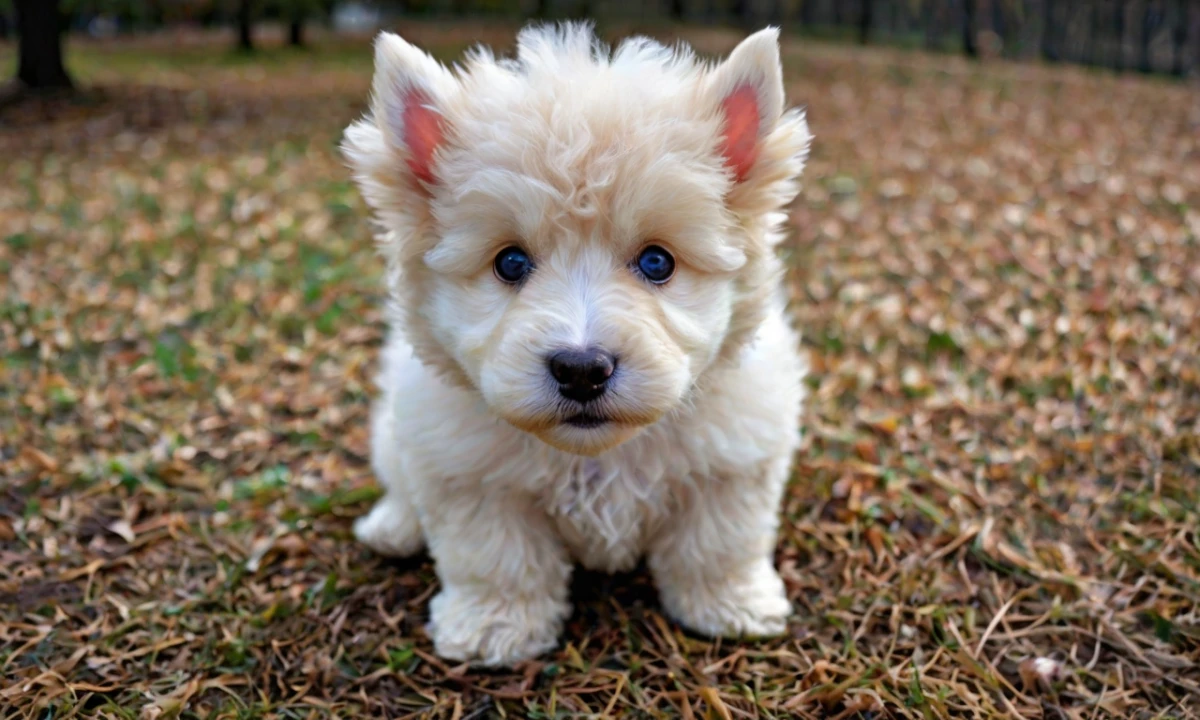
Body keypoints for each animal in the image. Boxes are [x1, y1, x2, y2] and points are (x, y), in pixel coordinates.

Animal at [342, 21, 811, 667]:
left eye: (658, 262)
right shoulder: (470, 477)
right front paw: (495, 627)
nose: (582, 369)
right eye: (510, 263)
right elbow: (496, 557)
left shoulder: (733, 462)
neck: (597, 456)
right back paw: (392, 527)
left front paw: (730, 604)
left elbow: (718, 540)